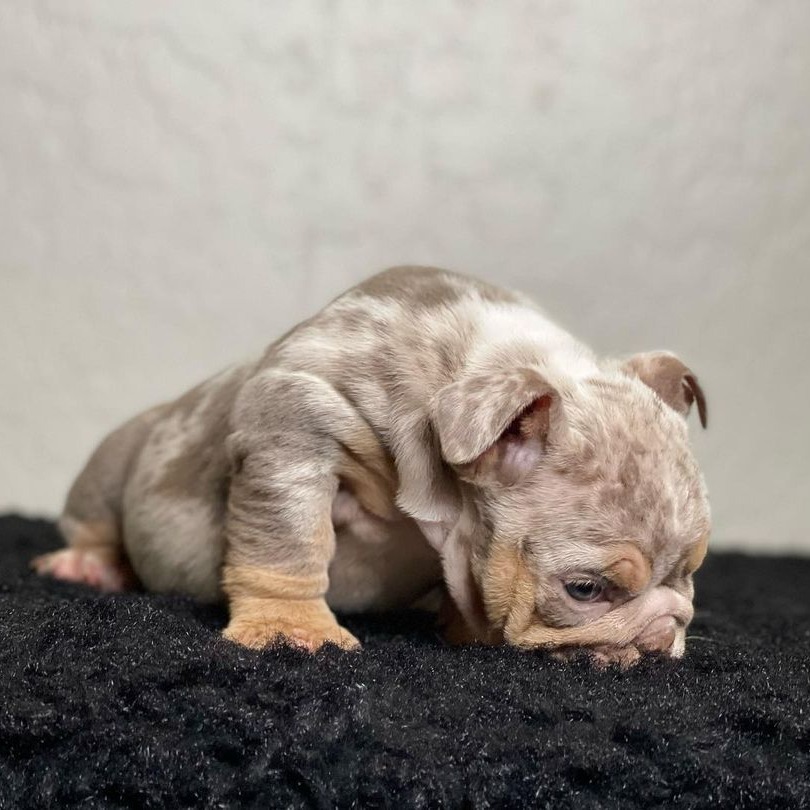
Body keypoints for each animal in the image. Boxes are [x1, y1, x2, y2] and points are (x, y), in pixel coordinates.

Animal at [33, 266, 708, 664]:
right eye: (585, 589)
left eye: (691, 571)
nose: (661, 631)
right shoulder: (294, 428)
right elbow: (286, 541)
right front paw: (289, 628)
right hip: (115, 463)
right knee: (95, 515)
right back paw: (88, 563)